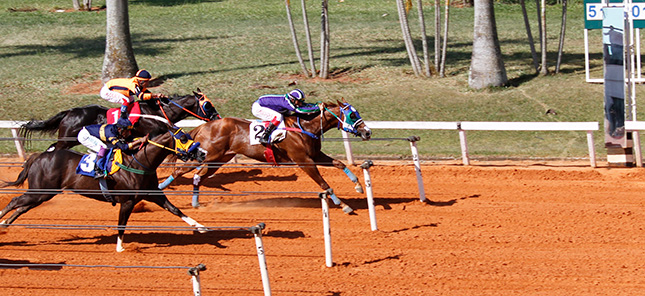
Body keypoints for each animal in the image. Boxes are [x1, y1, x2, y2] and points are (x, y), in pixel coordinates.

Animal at [0, 126, 206, 252]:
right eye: (183, 138)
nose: (203, 153)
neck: (139, 162)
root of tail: (39, 156)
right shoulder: (127, 201)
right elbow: (121, 224)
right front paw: (120, 248)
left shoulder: (153, 193)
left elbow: (175, 209)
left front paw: (200, 226)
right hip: (40, 191)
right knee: (15, 201)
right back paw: (2, 221)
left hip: (44, 194)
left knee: (22, 206)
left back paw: (5, 224)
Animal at [18, 89, 220, 150]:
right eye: (208, 105)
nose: (217, 117)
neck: (158, 112)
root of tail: (69, 112)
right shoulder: (154, 132)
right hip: (67, 139)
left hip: (70, 140)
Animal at [158, 99, 372, 213]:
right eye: (352, 115)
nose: (367, 132)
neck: (305, 127)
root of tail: (205, 126)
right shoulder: (304, 161)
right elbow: (324, 184)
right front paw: (343, 205)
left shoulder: (315, 155)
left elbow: (339, 164)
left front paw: (358, 186)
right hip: (207, 155)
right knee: (179, 171)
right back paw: (158, 189)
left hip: (219, 159)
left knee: (198, 176)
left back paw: (196, 203)